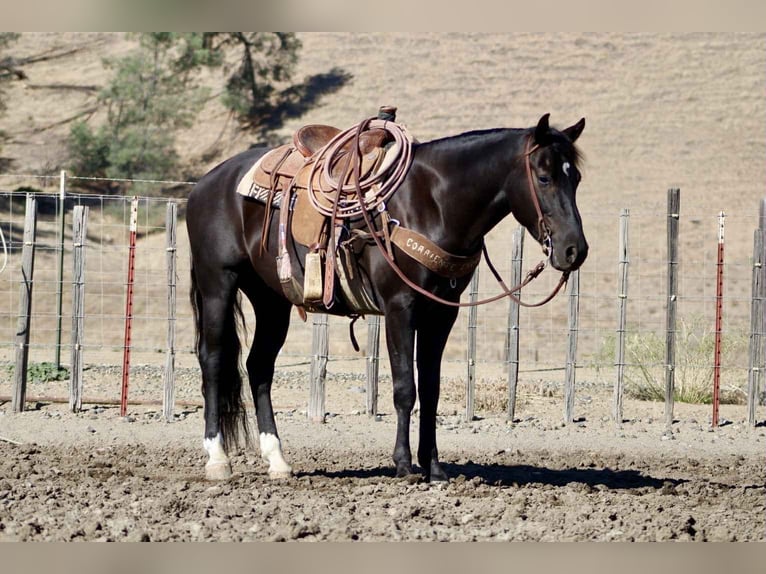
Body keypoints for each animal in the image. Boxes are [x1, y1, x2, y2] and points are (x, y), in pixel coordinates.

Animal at [186, 113, 588, 482]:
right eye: (544, 177)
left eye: (577, 179)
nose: (574, 250)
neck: (432, 201)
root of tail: (204, 185)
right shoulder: (400, 308)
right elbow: (404, 388)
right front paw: (405, 465)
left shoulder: (441, 314)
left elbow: (430, 389)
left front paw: (434, 468)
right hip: (218, 284)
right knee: (213, 359)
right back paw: (218, 460)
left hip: (271, 299)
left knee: (259, 365)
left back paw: (278, 461)